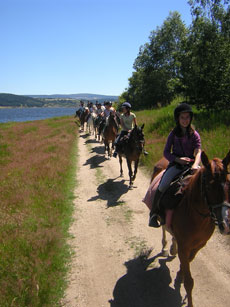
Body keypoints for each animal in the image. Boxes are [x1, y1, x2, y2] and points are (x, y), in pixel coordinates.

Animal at [149, 152, 230, 307]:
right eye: (209, 187)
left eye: (229, 184)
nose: (226, 225)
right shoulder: (185, 246)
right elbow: (189, 281)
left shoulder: (199, 245)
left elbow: (188, 260)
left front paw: (180, 273)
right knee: (163, 227)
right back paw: (165, 246)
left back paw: (172, 248)